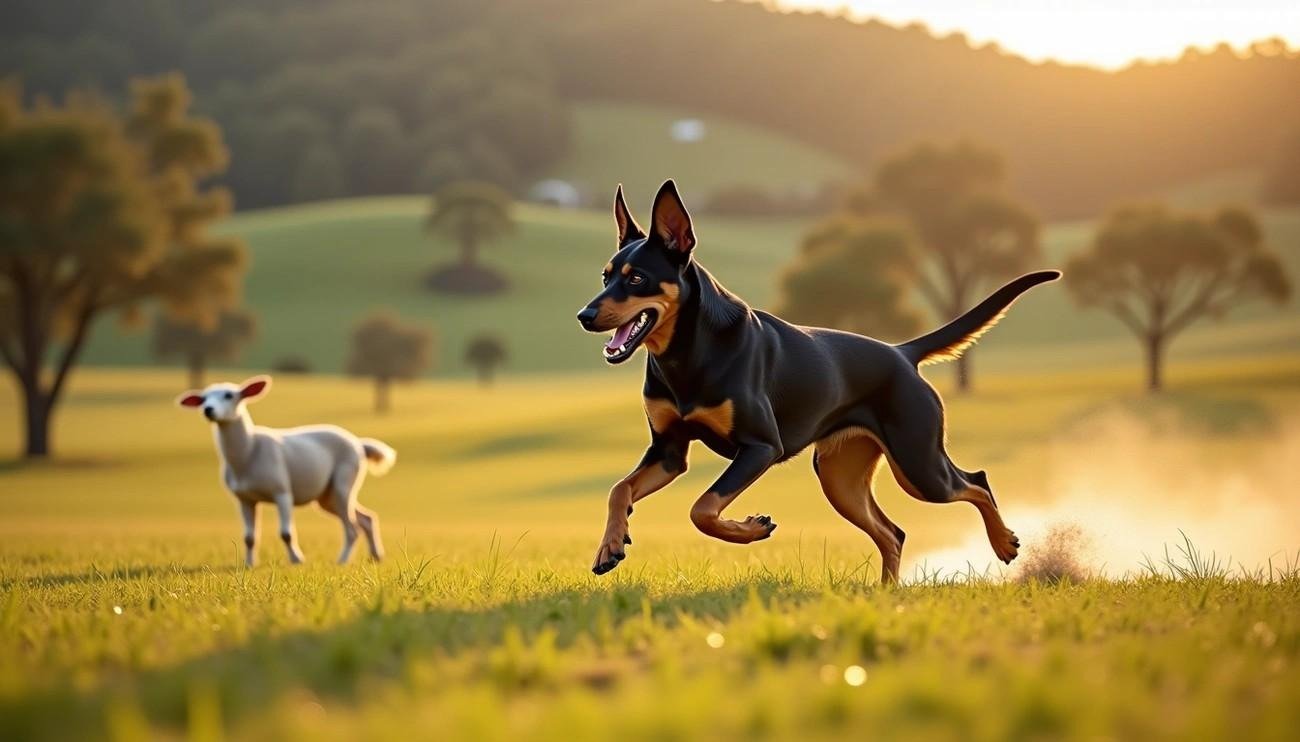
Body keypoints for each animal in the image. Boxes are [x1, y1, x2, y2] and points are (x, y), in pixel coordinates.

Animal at [177, 375, 395, 566]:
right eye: (203, 398)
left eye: (229, 395)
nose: (208, 409)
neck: (248, 453)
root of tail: (359, 444)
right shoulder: (245, 499)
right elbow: (249, 537)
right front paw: (249, 564)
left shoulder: (282, 492)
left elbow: (286, 533)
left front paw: (297, 560)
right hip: (326, 496)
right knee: (366, 519)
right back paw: (376, 556)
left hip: (344, 481)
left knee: (352, 528)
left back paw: (342, 561)